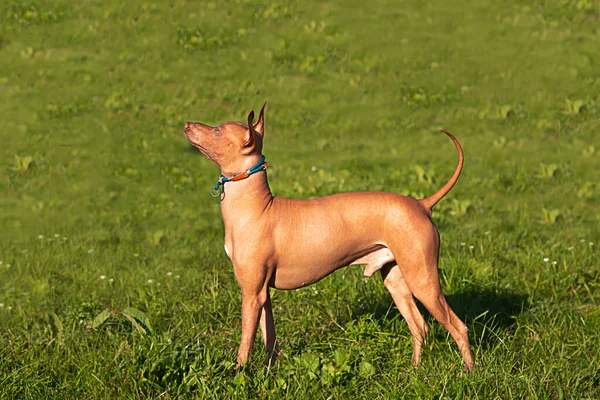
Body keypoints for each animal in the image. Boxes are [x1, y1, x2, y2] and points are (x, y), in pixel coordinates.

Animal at [183, 104, 474, 372]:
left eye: (217, 130)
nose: (186, 123)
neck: (258, 207)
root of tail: (421, 204)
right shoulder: (262, 294)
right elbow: (269, 341)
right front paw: (268, 376)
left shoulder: (251, 293)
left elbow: (245, 345)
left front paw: (239, 376)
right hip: (396, 280)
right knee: (419, 326)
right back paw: (414, 371)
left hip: (423, 280)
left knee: (458, 326)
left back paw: (469, 373)